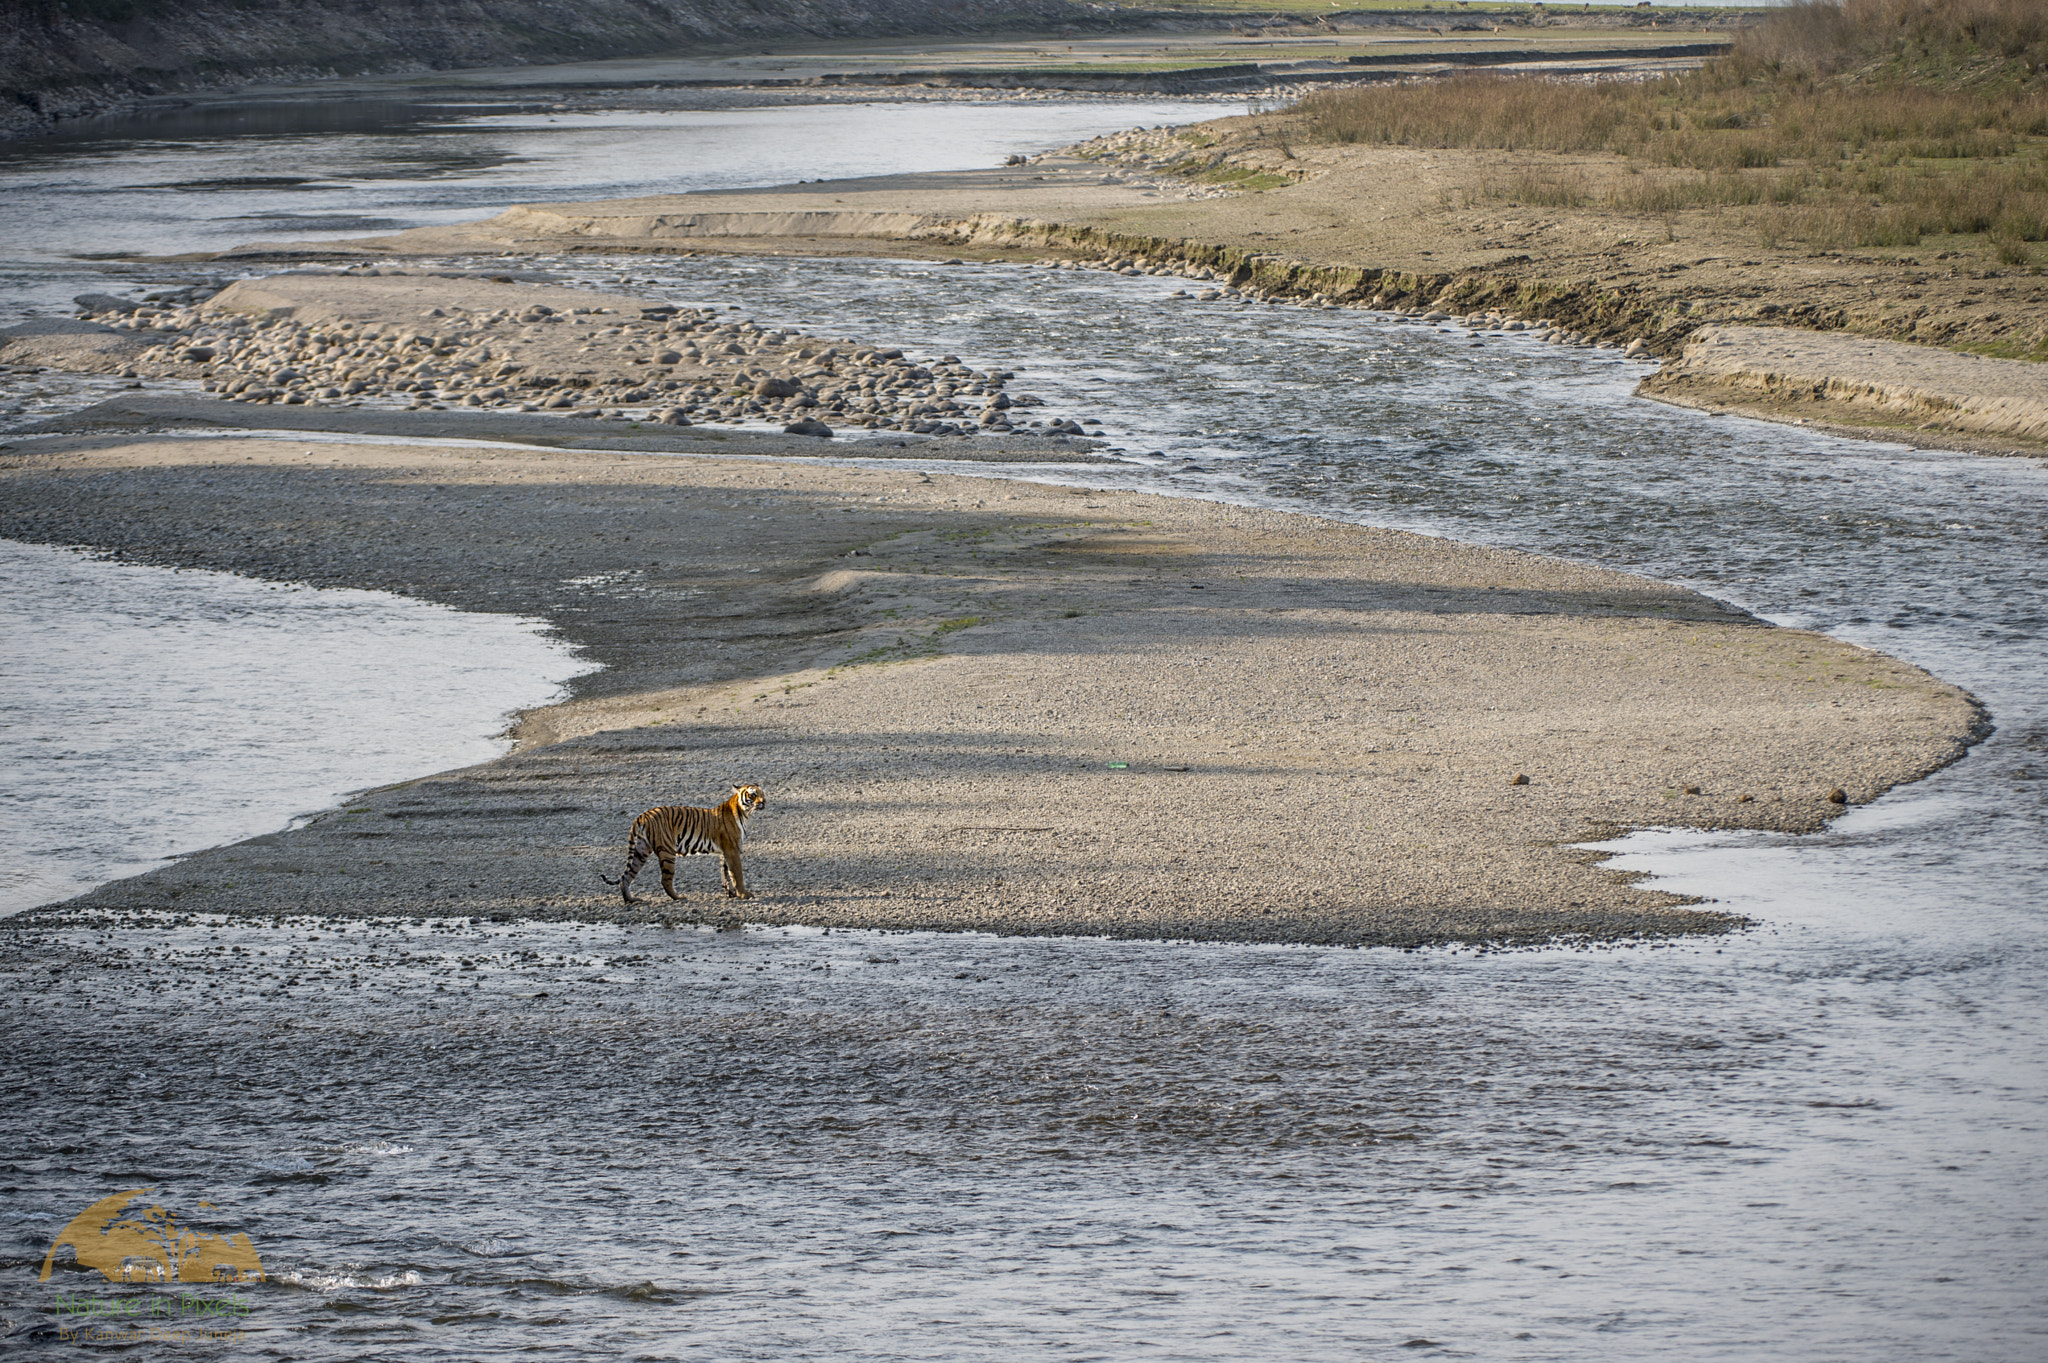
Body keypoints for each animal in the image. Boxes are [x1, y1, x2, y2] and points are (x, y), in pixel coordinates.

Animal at [600, 784, 767, 905]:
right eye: (753, 794)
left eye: (762, 793)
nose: (764, 802)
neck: (745, 813)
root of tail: (642, 815)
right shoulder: (732, 849)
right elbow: (737, 873)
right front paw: (744, 894)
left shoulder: (725, 851)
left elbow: (726, 873)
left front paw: (731, 894)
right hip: (667, 851)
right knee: (665, 880)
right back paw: (679, 897)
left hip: (640, 851)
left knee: (626, 877)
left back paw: (631, 900)